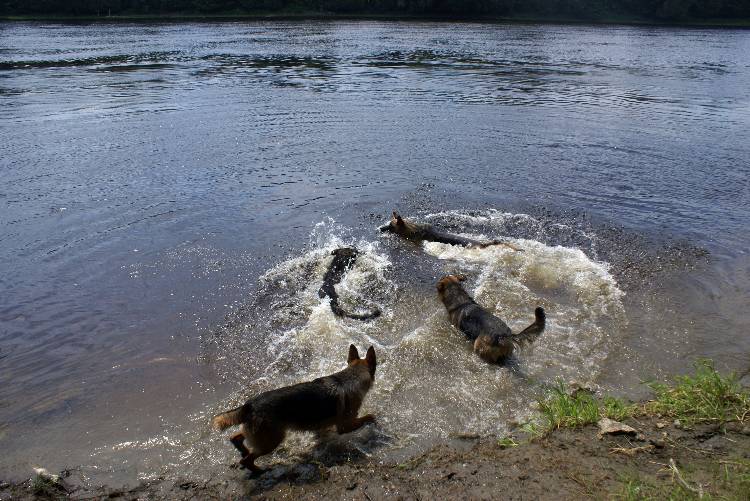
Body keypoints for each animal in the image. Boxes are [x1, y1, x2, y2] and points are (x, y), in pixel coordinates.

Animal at [213, 346, 378, 470]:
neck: (350, 377)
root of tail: (249, 405)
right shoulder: (345, 426)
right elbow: (368, 417)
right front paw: (373, 420)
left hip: (258, 434)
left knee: (236, 438)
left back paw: (244, 451)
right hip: (272, 440)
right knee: (247, 460)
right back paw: (259, 471)